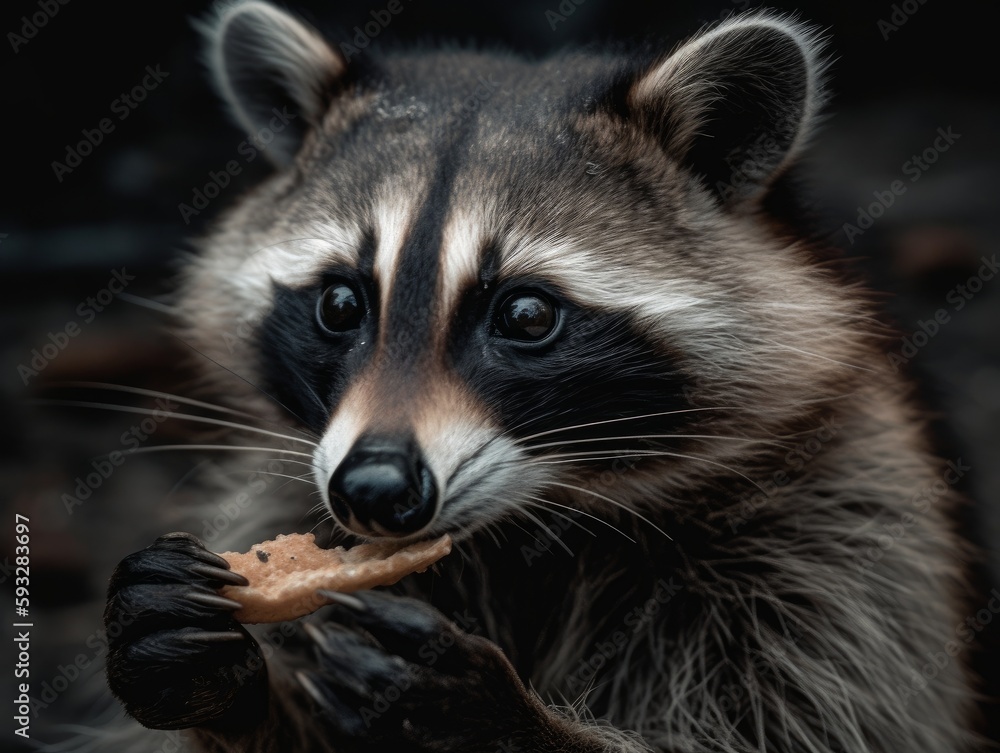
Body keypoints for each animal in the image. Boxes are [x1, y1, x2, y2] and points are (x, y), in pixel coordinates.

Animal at [97, 1, 980, 752]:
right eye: (341, 303)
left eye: (525, 316)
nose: (373, 490)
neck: (527, 527)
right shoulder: (285, 490)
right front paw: (225, 689)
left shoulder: (839, 536)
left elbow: (806, 721)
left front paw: (490, 715)